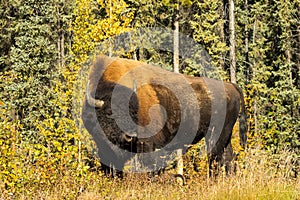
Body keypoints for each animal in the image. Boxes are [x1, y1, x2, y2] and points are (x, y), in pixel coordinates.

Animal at [81, 55, 246, 180]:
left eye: (133, 113)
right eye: (110, 113)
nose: (130, 136)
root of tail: (230, 86)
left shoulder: (149, 145)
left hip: (215, 135)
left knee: (215, 158)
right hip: (226, 136)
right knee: (228, 157)